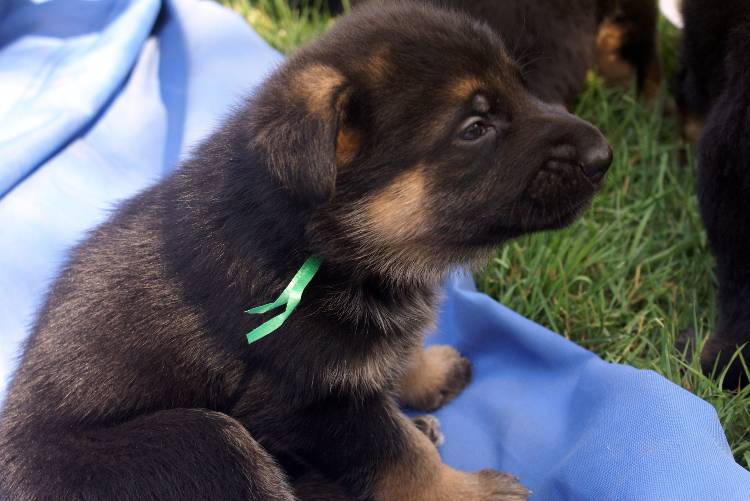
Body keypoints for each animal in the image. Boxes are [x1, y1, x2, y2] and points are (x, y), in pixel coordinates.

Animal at [0, 2, 612, 496]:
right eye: (475, 128)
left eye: (522, 87)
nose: (604, 156)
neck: (319, 245)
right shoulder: (311, 404)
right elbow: (401, 457)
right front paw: (467, 492)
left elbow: (395, 358)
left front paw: (424, 371)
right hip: (207, 441)